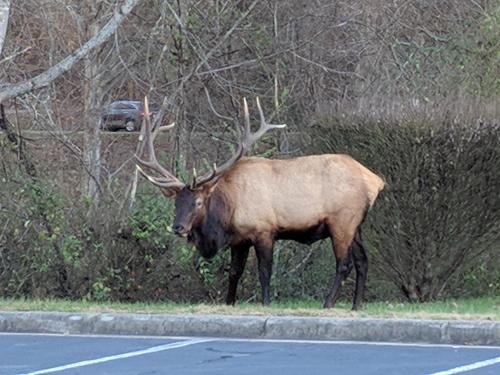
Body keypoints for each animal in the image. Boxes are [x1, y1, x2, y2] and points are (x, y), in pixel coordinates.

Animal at [135, 97, 384, 312]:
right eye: (176, 203)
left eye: (197, 202)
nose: (178, 227)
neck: (228, 211)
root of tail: (375, 181)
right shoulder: (239, 240)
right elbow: (234, 272)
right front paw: (229, 303)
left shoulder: (264, 230)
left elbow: (264, 271)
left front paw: (266, 303)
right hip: (356, 226)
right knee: (363, 260)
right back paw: (356, 306)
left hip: (342, 222)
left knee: (344, 264)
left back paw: (328, 303)